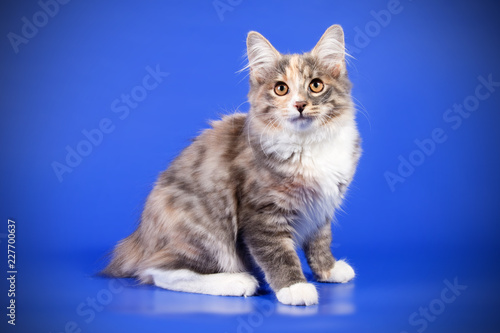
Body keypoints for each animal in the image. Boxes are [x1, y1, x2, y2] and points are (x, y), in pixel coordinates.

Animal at [102, 24, 360, 306]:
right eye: (281, 89)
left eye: (316, 85)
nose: (300, 104)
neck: (308, 144)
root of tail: (140, 237)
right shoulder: (262, 213)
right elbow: (278, 253)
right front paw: (295, 287)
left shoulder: (322, 207)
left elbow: (320, 241)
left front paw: (329, 269)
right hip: (205, 230)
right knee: (157, 271)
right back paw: (236, 281)